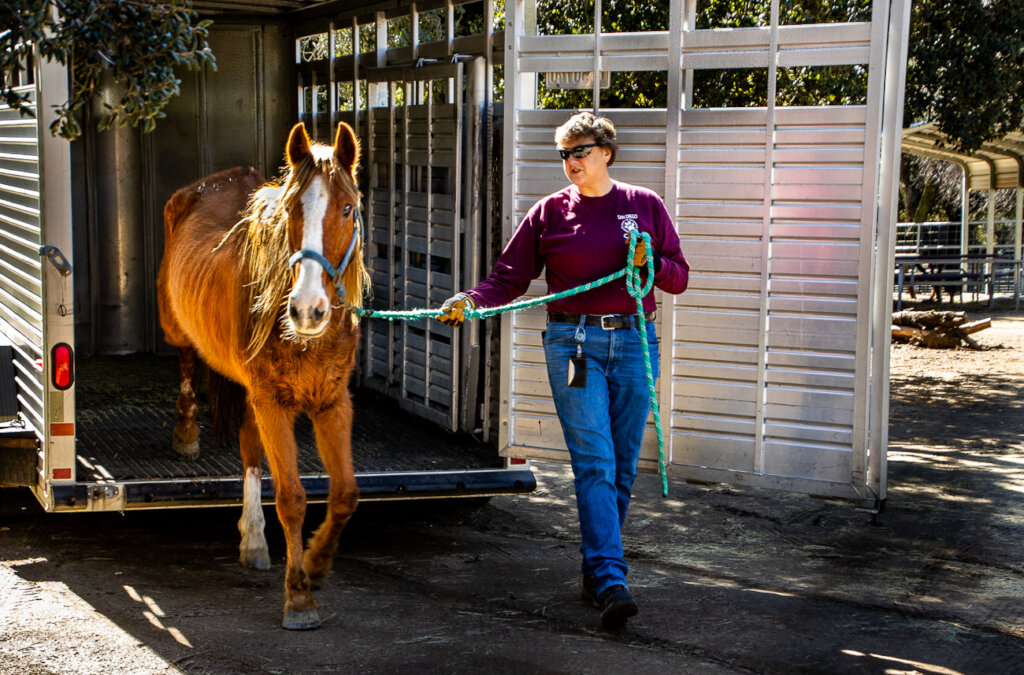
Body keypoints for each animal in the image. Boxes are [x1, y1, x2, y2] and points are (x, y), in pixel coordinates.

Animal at [156, 121, 369, 630]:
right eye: (291, 210)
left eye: (347, 208)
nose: (308, 310)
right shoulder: (273, 402)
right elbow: (291, 498)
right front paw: (299, 598)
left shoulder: (332, 403)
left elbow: (346, 493)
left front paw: (317, 562)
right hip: (176, 327)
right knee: (187, 364)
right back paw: (187, 434)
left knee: (250, 450)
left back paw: (253, 539)